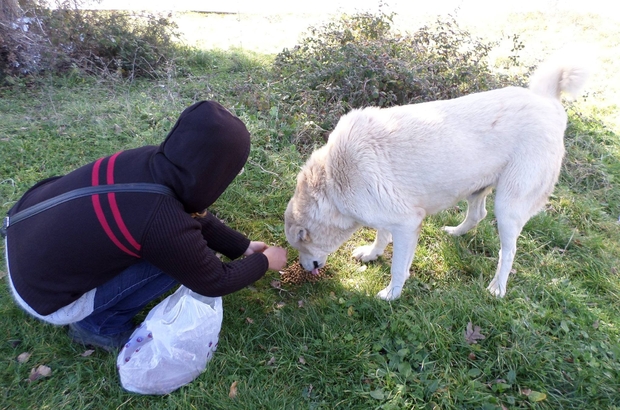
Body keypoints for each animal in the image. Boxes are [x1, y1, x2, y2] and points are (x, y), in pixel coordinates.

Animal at [284, 54, 588, 300]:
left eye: (300, 244)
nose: (303, 267)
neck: (332, 180)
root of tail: (548, 102)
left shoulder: (407, 224)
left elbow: (398, 268)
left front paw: (391, 295)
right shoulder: (390, 216)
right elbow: (382, 236)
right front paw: (372, 254)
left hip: (508, 207)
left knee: (509, 251)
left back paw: (497, 288)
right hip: (476, 190)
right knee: (477, 215)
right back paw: (454, 232)